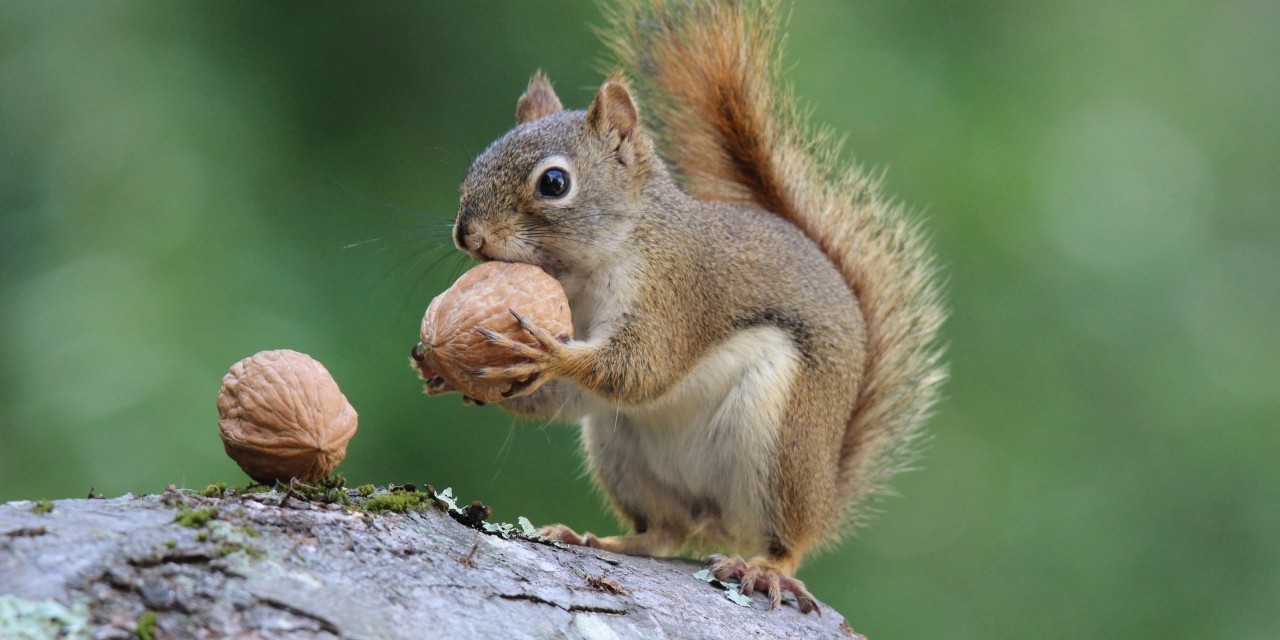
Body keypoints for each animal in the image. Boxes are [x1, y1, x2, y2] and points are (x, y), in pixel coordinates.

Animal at [435, 0, 946, 615]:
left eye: (554, 182)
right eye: (477, 162)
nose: (467, 235)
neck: (586, 268)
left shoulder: (676, 292)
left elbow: (642, 368)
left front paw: (547, 354)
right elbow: (566, 400)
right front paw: (445, 368)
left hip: (781, 445)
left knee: (786, 540)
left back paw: (766, 569)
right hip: (619, 450)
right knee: (666, 532)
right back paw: (596, 539)